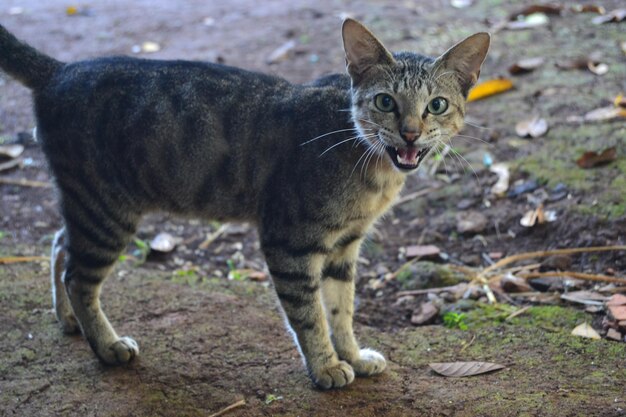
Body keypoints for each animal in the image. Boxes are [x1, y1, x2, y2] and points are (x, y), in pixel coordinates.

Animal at [0, 18, 488, 390]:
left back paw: (69, 322)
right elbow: (310, 316)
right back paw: (106, 345)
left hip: (90, 205)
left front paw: (351, 354)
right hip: (107, 209)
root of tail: (60, 70)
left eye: (436, 105)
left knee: (60, 245)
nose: (410, 133)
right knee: (78, 276)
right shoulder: (289, 242)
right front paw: (326, 367)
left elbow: (341, 310)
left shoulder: (344, 248)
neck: (370, 168)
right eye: (385, 101)